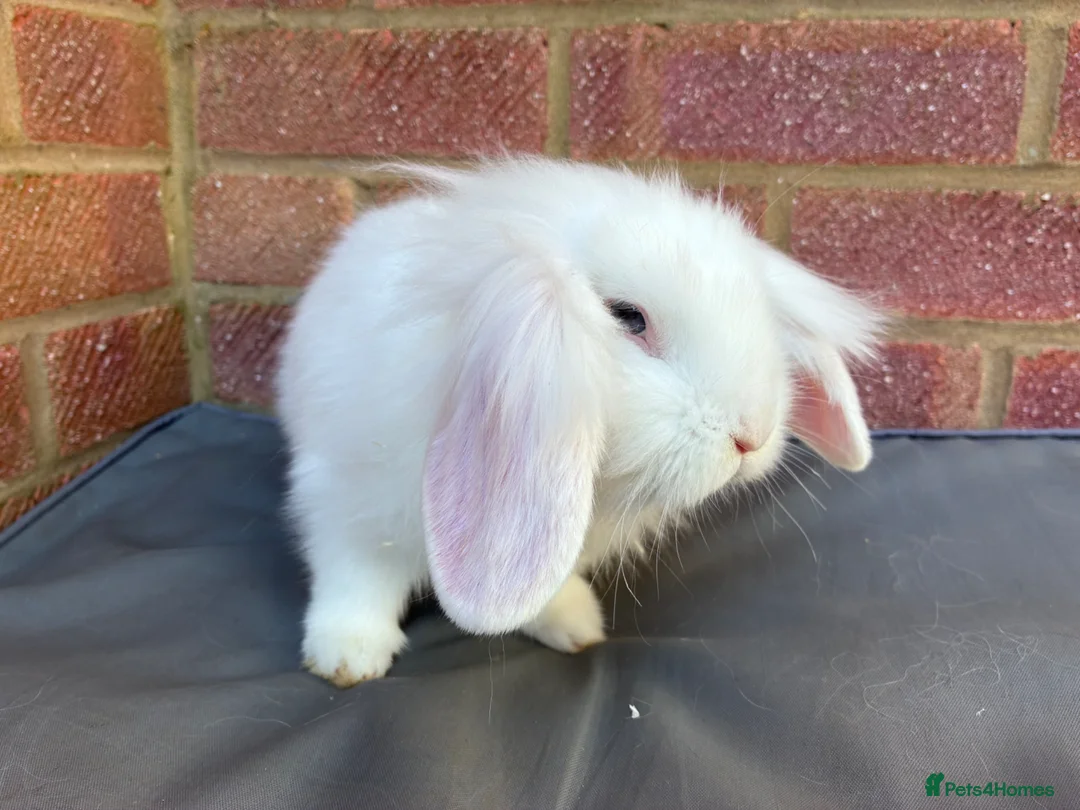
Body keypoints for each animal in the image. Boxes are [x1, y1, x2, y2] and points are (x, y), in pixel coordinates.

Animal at [275, 156, 883, 687]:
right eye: (628, 318)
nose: (751, 435)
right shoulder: (344, 507)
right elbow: (356, 583)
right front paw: (348, 657)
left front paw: (575, 624)